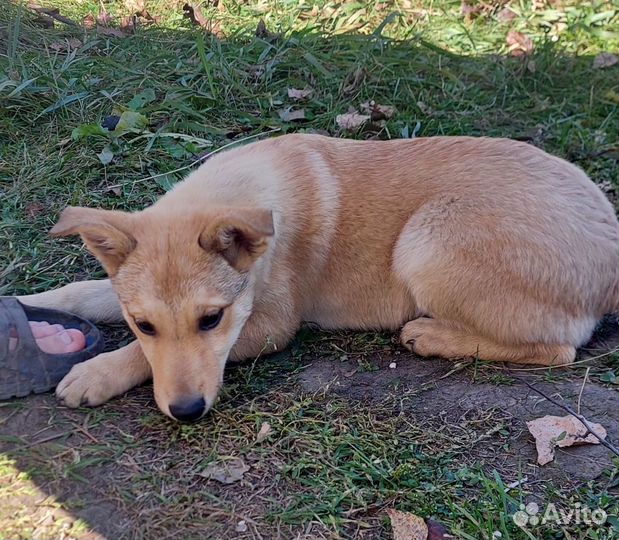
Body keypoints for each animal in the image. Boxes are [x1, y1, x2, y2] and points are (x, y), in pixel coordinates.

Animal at [20, 135, 619, 422]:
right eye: (143, 324)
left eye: (211, 319)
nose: (187, 413)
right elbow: (87, 296)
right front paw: (27, 305)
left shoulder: (271, 327)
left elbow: (147, 360)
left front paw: (98, 373)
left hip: (427, 237)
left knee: (558, 349)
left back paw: (432, 334)